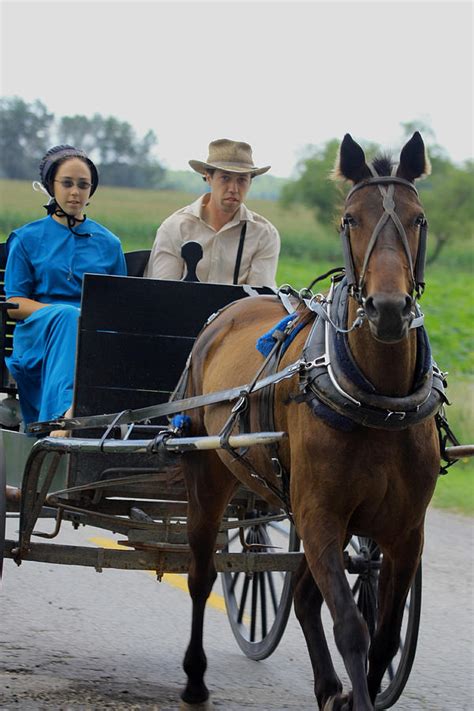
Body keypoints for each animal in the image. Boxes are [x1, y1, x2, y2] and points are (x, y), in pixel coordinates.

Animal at [177, 131, 440, 708]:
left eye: (418, 218)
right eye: (350, 219)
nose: (389, 309)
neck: (379, 398)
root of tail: (225, 312)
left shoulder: (405, 531)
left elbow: (384, 639)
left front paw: (352, 692)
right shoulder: (321, 515)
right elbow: (351, 628)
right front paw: (351, 692)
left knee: (300, 597)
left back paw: (327, 688)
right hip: (208, 475)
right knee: (202, 573)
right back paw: (194, 676)